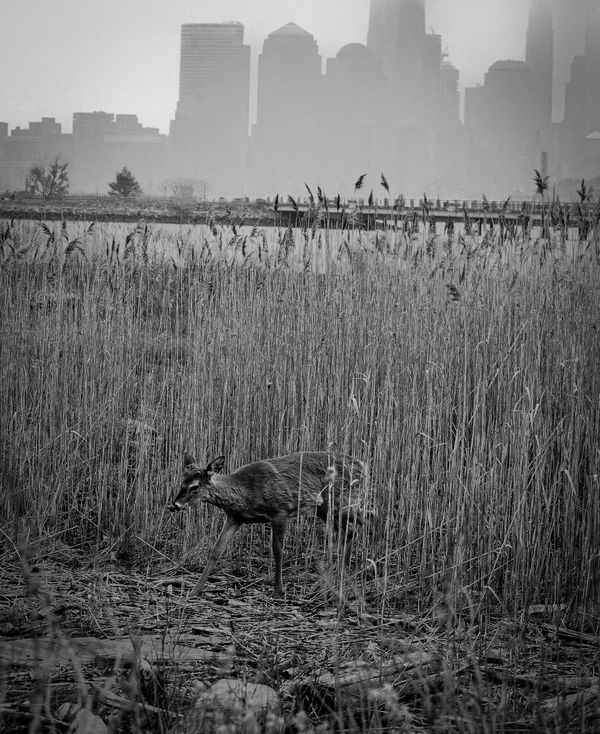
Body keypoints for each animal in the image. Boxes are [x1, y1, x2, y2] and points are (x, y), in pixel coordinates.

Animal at [168, 451, 368, 598]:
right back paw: (335, 581)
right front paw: (194, 591)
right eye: (182, 481)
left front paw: (278, 591)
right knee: (351, 531)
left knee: (359, 525)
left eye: (194, 487)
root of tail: (362, 465)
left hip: (340, 502)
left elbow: (278, 551)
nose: (174, 505)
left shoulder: (280, 511)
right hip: (325, 510)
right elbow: (216, 551)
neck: (246, 493)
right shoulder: (234, 518)